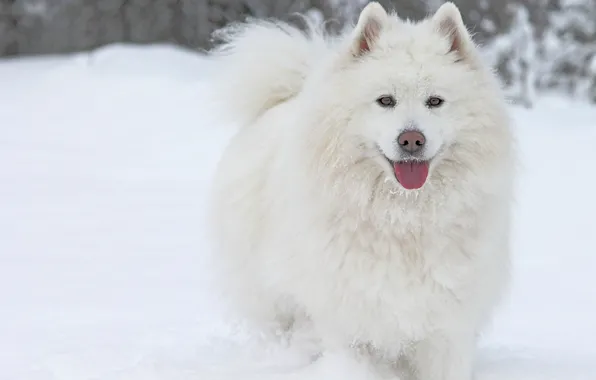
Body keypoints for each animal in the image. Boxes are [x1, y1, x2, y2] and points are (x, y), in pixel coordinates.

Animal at [207, 2, 516, 380]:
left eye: (435, 101)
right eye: (385, 100)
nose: (411, 139)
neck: (402, 219)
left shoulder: (445, 329)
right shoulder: (350, 323)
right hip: (270, 298)